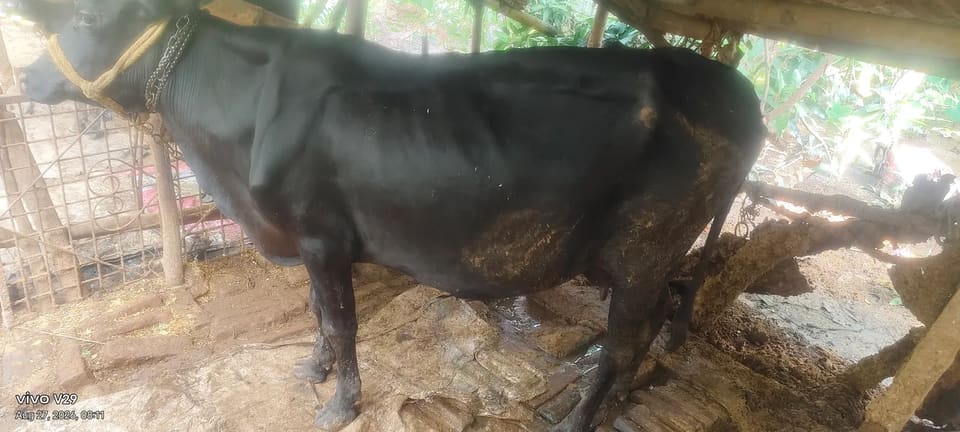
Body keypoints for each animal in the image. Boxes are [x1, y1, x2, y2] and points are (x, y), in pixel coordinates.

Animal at [19, 0, 766, 430]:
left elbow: (342, 322)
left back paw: (579, 419)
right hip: (637, 258)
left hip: (646, 248)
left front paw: (340, 405)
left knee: (623, 342)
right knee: (657, 318)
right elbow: (318, 313)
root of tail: (735, 88)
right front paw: (312, 370)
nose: (25, 77)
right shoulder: (305, 240)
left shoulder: (321, 235)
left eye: (88, 19)